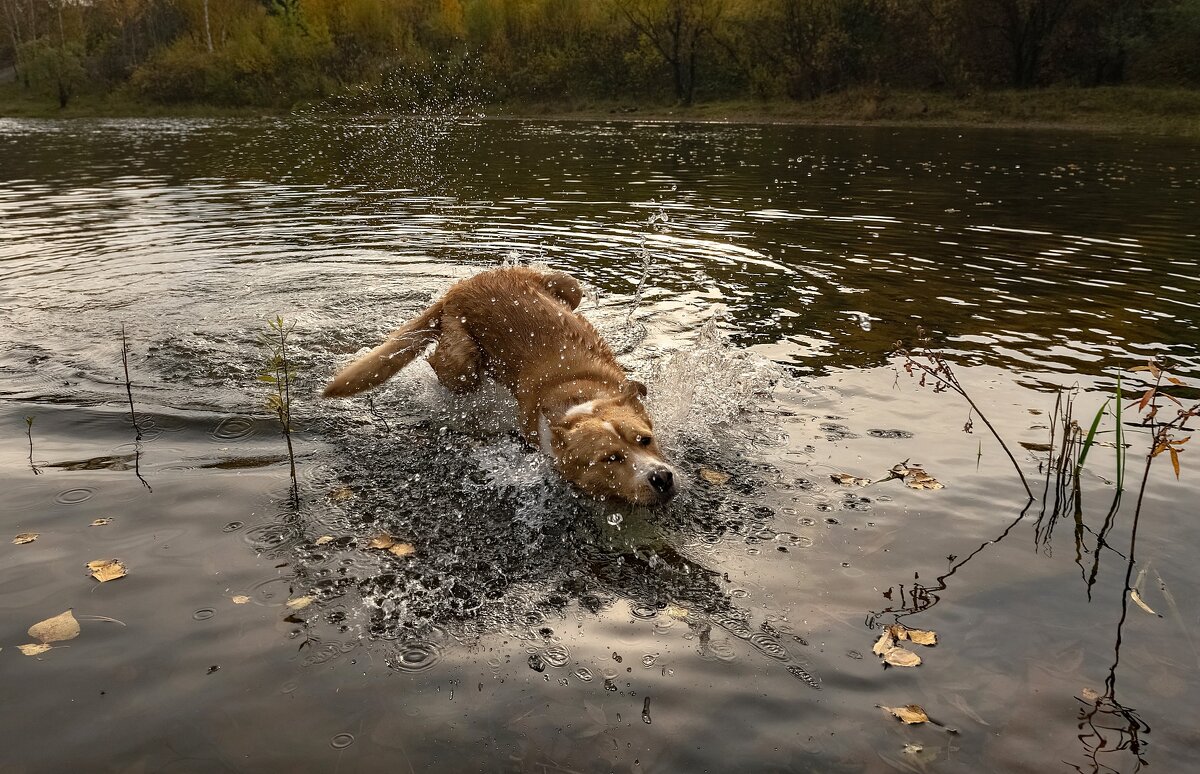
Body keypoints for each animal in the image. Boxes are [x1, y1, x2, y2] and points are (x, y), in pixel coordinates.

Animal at [321, 268, 676, 504]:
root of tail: (459, 289)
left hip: (566, 286)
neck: (577, 400)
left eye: (645, 440)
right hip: (463, 366)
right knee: (442, 359)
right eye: (610, 459)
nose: (661, 478)